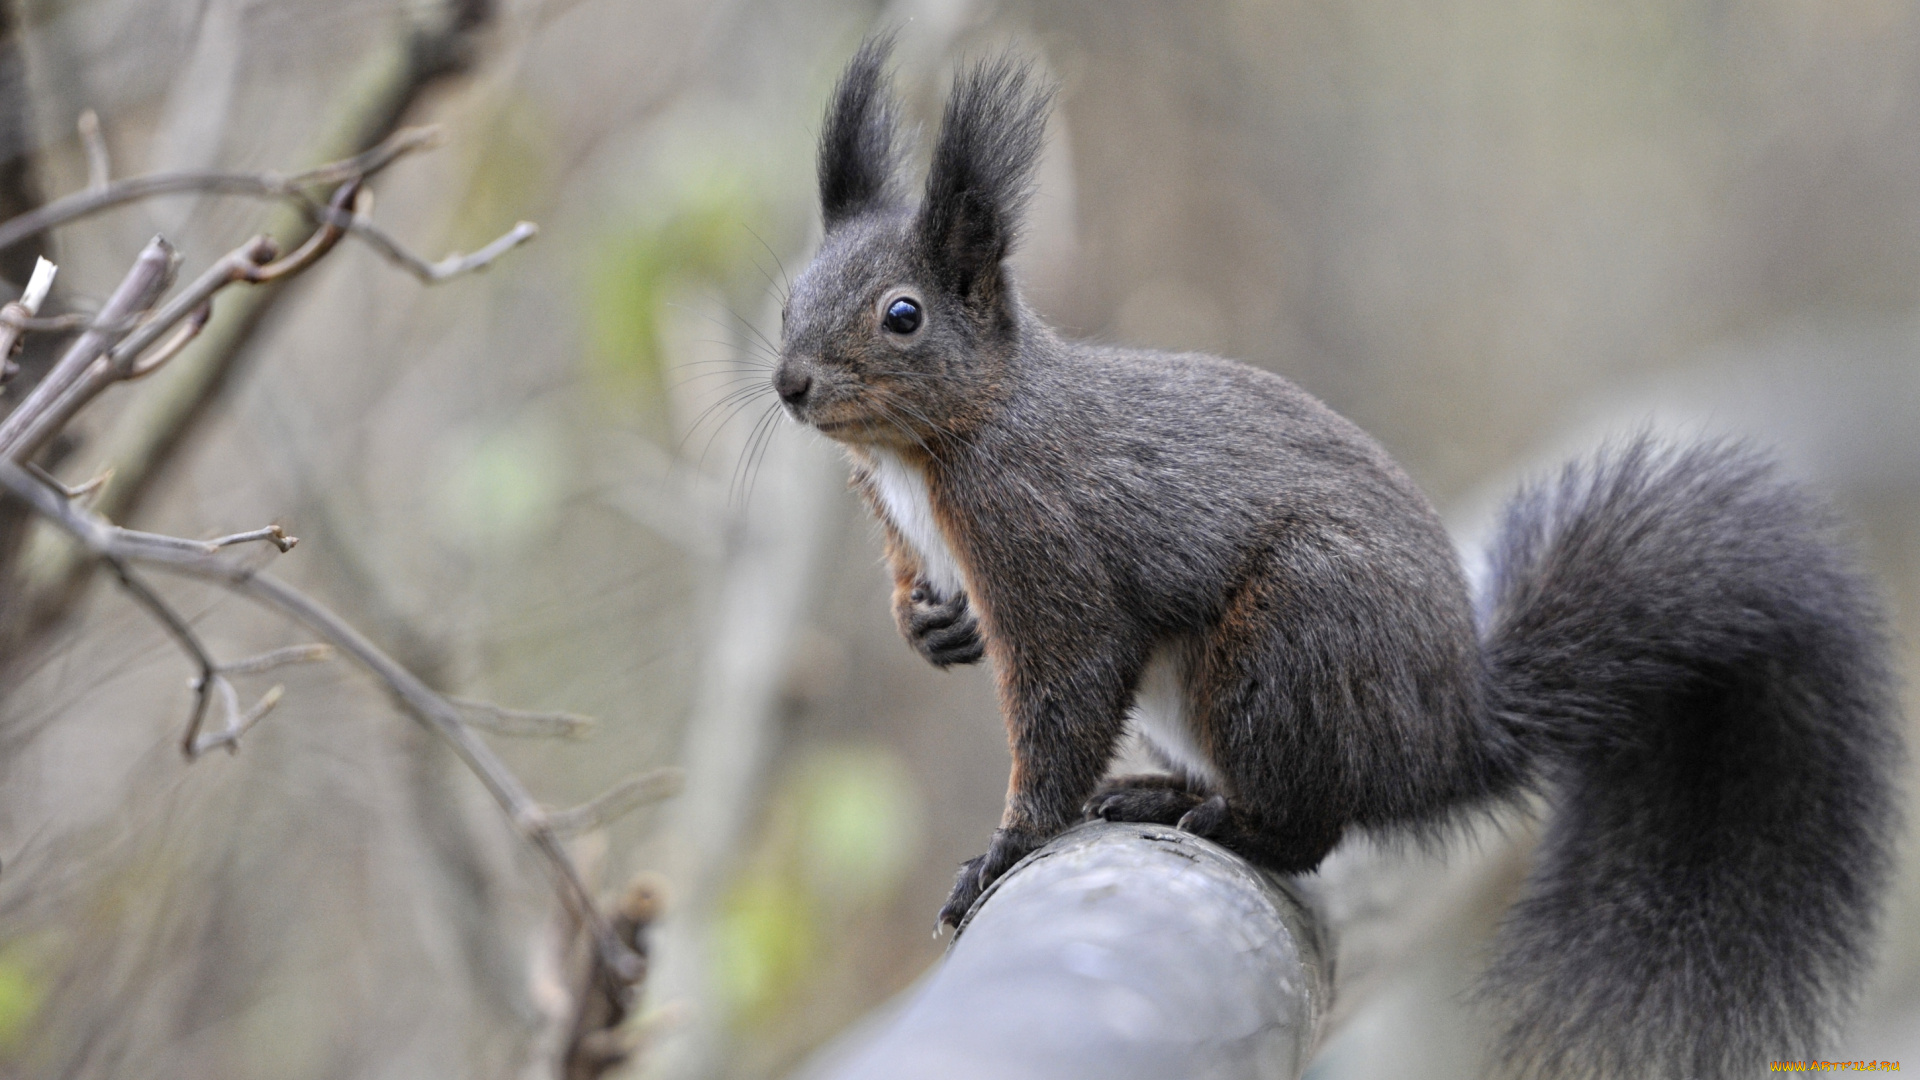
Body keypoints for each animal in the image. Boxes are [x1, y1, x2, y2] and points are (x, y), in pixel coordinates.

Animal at [768, 37, 1904, 1068]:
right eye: (788, 295)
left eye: (903, 316)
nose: (789, 384)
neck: (932, 449)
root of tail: (1451, 734)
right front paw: (931, 623)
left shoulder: (1053, 549)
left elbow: (1066, 701)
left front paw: (1005, 848)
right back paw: (1164, 793)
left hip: (1289, 646)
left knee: (1313, 831)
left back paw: (1223, 822)